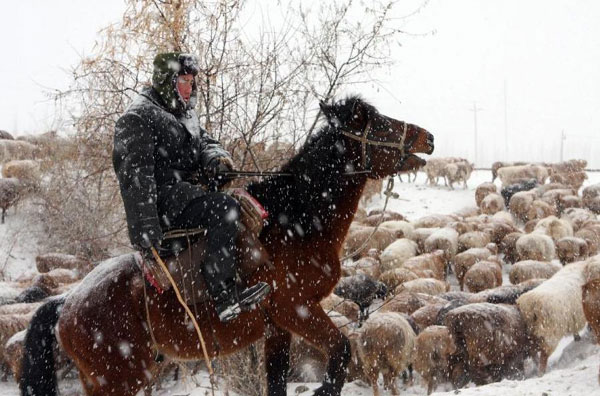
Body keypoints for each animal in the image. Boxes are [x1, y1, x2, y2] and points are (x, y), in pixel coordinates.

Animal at [18, 96, 432, 396]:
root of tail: (65, 302)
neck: (294, 225)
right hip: (120, 378)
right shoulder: (296, 309)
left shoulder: (277, 328)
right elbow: (341, 350)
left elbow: (278, 381)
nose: (427, 137)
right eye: (377, 121)